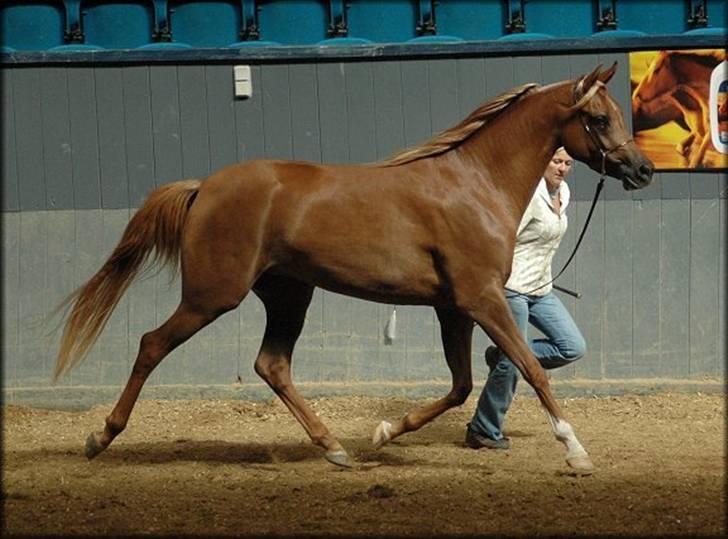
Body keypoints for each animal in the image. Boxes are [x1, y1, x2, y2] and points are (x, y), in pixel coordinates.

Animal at [54, 64, 652, 472]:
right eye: (599, 118)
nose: (642, 169)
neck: (475, 184)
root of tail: (205, 187)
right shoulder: (481, 298)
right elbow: (529, 368)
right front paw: (576, 451)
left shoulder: (452, 307)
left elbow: (461, 384)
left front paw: (384, 433)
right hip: (212, 295)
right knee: (152, 344)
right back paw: (100, 438)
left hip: (289, 295)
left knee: (272, 365)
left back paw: (336, 448)